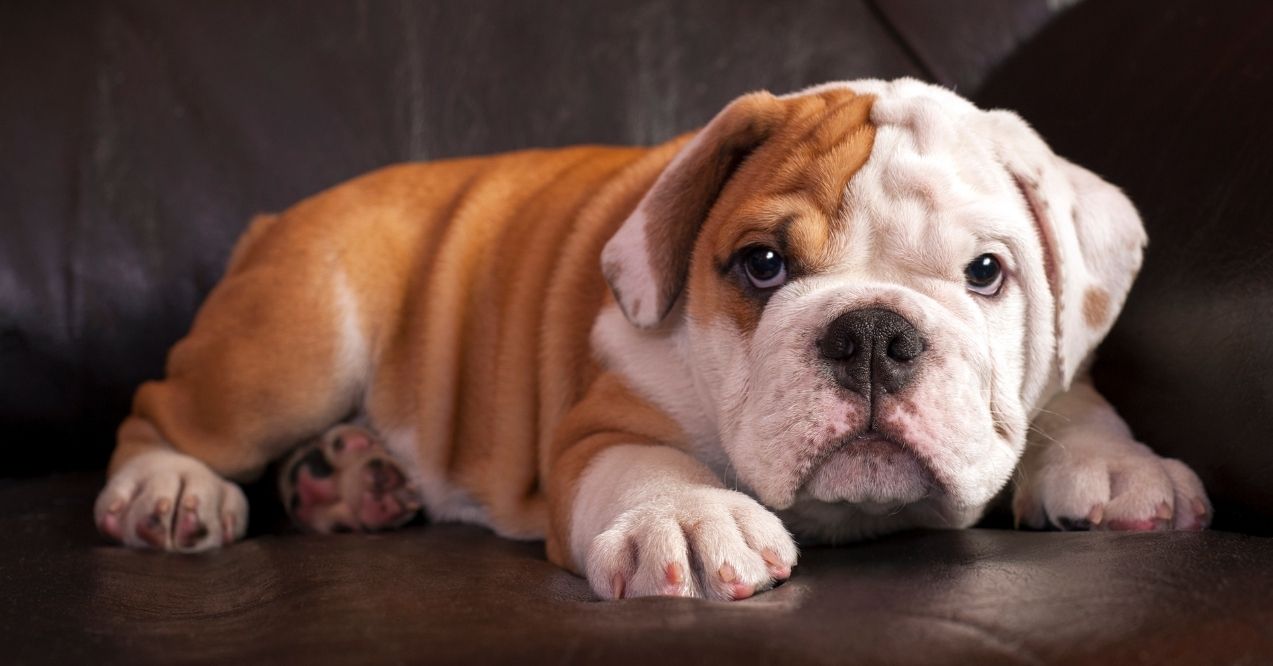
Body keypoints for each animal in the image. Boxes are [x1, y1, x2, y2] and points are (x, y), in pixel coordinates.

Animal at [94, 78, 1206, 598]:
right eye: (761, 265)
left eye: (985, 274)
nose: (873, 334)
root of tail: (274, 222)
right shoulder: (600, 428)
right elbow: (643, 467)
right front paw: (690, 521)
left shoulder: (1045, 372)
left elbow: (1067, 395)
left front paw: (1117, 466)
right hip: (296, 345)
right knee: (162, 414)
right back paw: (170, 491)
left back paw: (349, 481)